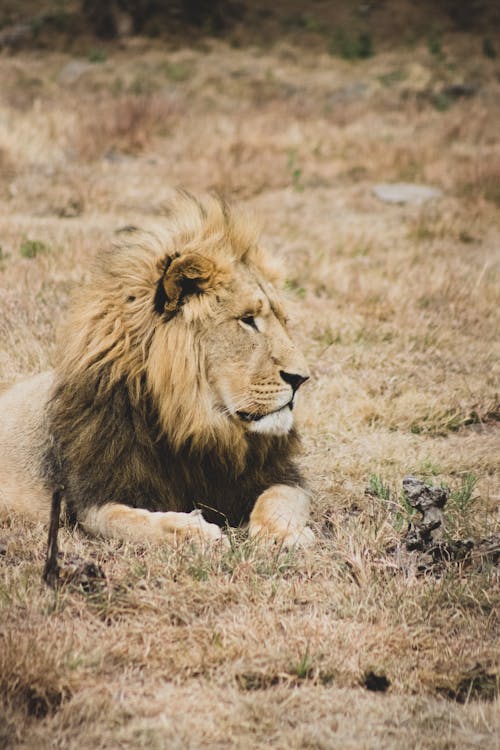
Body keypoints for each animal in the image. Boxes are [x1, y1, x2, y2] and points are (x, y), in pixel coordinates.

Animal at [0, 195, 312, 548]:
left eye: (283, 321)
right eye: (247, 320)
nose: (301, 379)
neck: (193, 422)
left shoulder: (279, 475)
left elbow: (279, 498)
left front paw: (281, 534)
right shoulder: (92, 499)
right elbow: (130, 520)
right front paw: (193, 530)